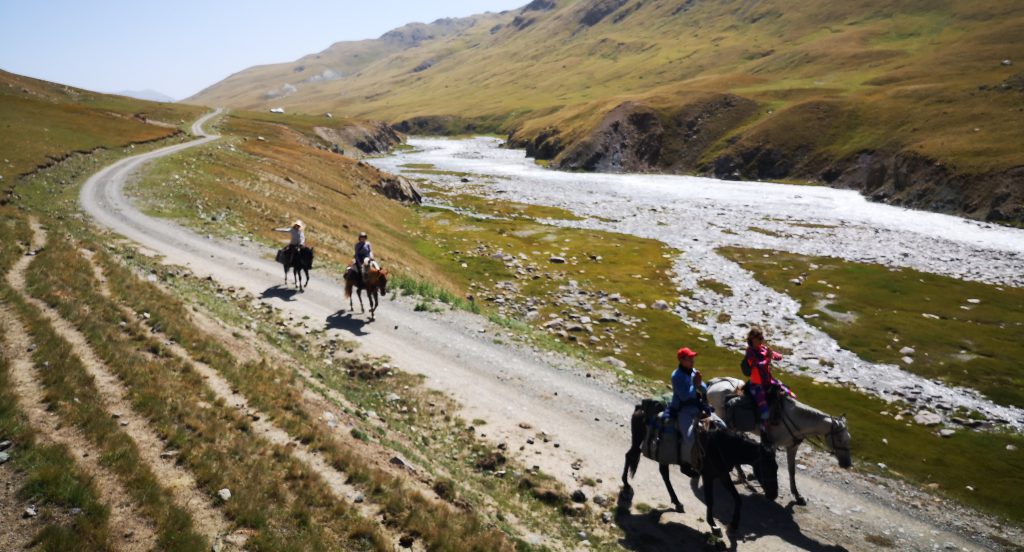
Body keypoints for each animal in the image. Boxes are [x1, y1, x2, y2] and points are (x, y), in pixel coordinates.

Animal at [618, 401, 778, 536]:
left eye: (776, 467)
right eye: (766, 467)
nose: (773, 495)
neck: (721, 445)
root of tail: (640, 407)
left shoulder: (722, 474)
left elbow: (738, 498)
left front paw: (733, 525)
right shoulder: (708, 475)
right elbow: (710, 500)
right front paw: (713, 525)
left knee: (663, 472)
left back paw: (677, 501)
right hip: (638, 439)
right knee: (630, 456)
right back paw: (626, 484)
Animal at [708, 378, 851, 507]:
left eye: (849, 439)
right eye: (839, 439)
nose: (847, 464)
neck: (796, 419)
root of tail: (712, 384)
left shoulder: (792, 447)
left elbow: (792, 471)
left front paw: (798, 496)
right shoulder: (772, 443)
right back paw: (741, 475)